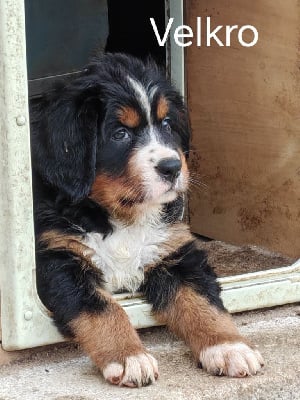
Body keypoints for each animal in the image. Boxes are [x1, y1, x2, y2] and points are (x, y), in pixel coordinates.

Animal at [30, 53, 264, 388]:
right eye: (120, 134)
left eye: (167, 124)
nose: (172, 167)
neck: (123, 218)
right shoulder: (60, 260)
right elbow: (102, 308)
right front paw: (129, 356)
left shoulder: (175, 253)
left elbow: (203, 303)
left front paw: (229, 347)